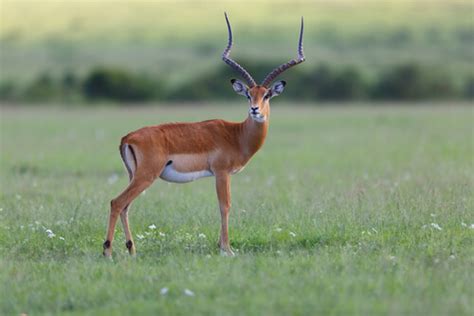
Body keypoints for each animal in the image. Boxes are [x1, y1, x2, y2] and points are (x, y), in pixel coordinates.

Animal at [102, 13, 306, 258]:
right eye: (248, 94)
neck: (236, 135)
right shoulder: (221, 172)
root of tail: (128, 137)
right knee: (116, 202)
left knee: (125, 206)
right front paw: (227, 249)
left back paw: (132, 250)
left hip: (134, 176)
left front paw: (222, 246)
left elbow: (223, 206)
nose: (254, 110)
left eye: (266, 95)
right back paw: (108, 252)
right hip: (145, 176)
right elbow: (225, 206)